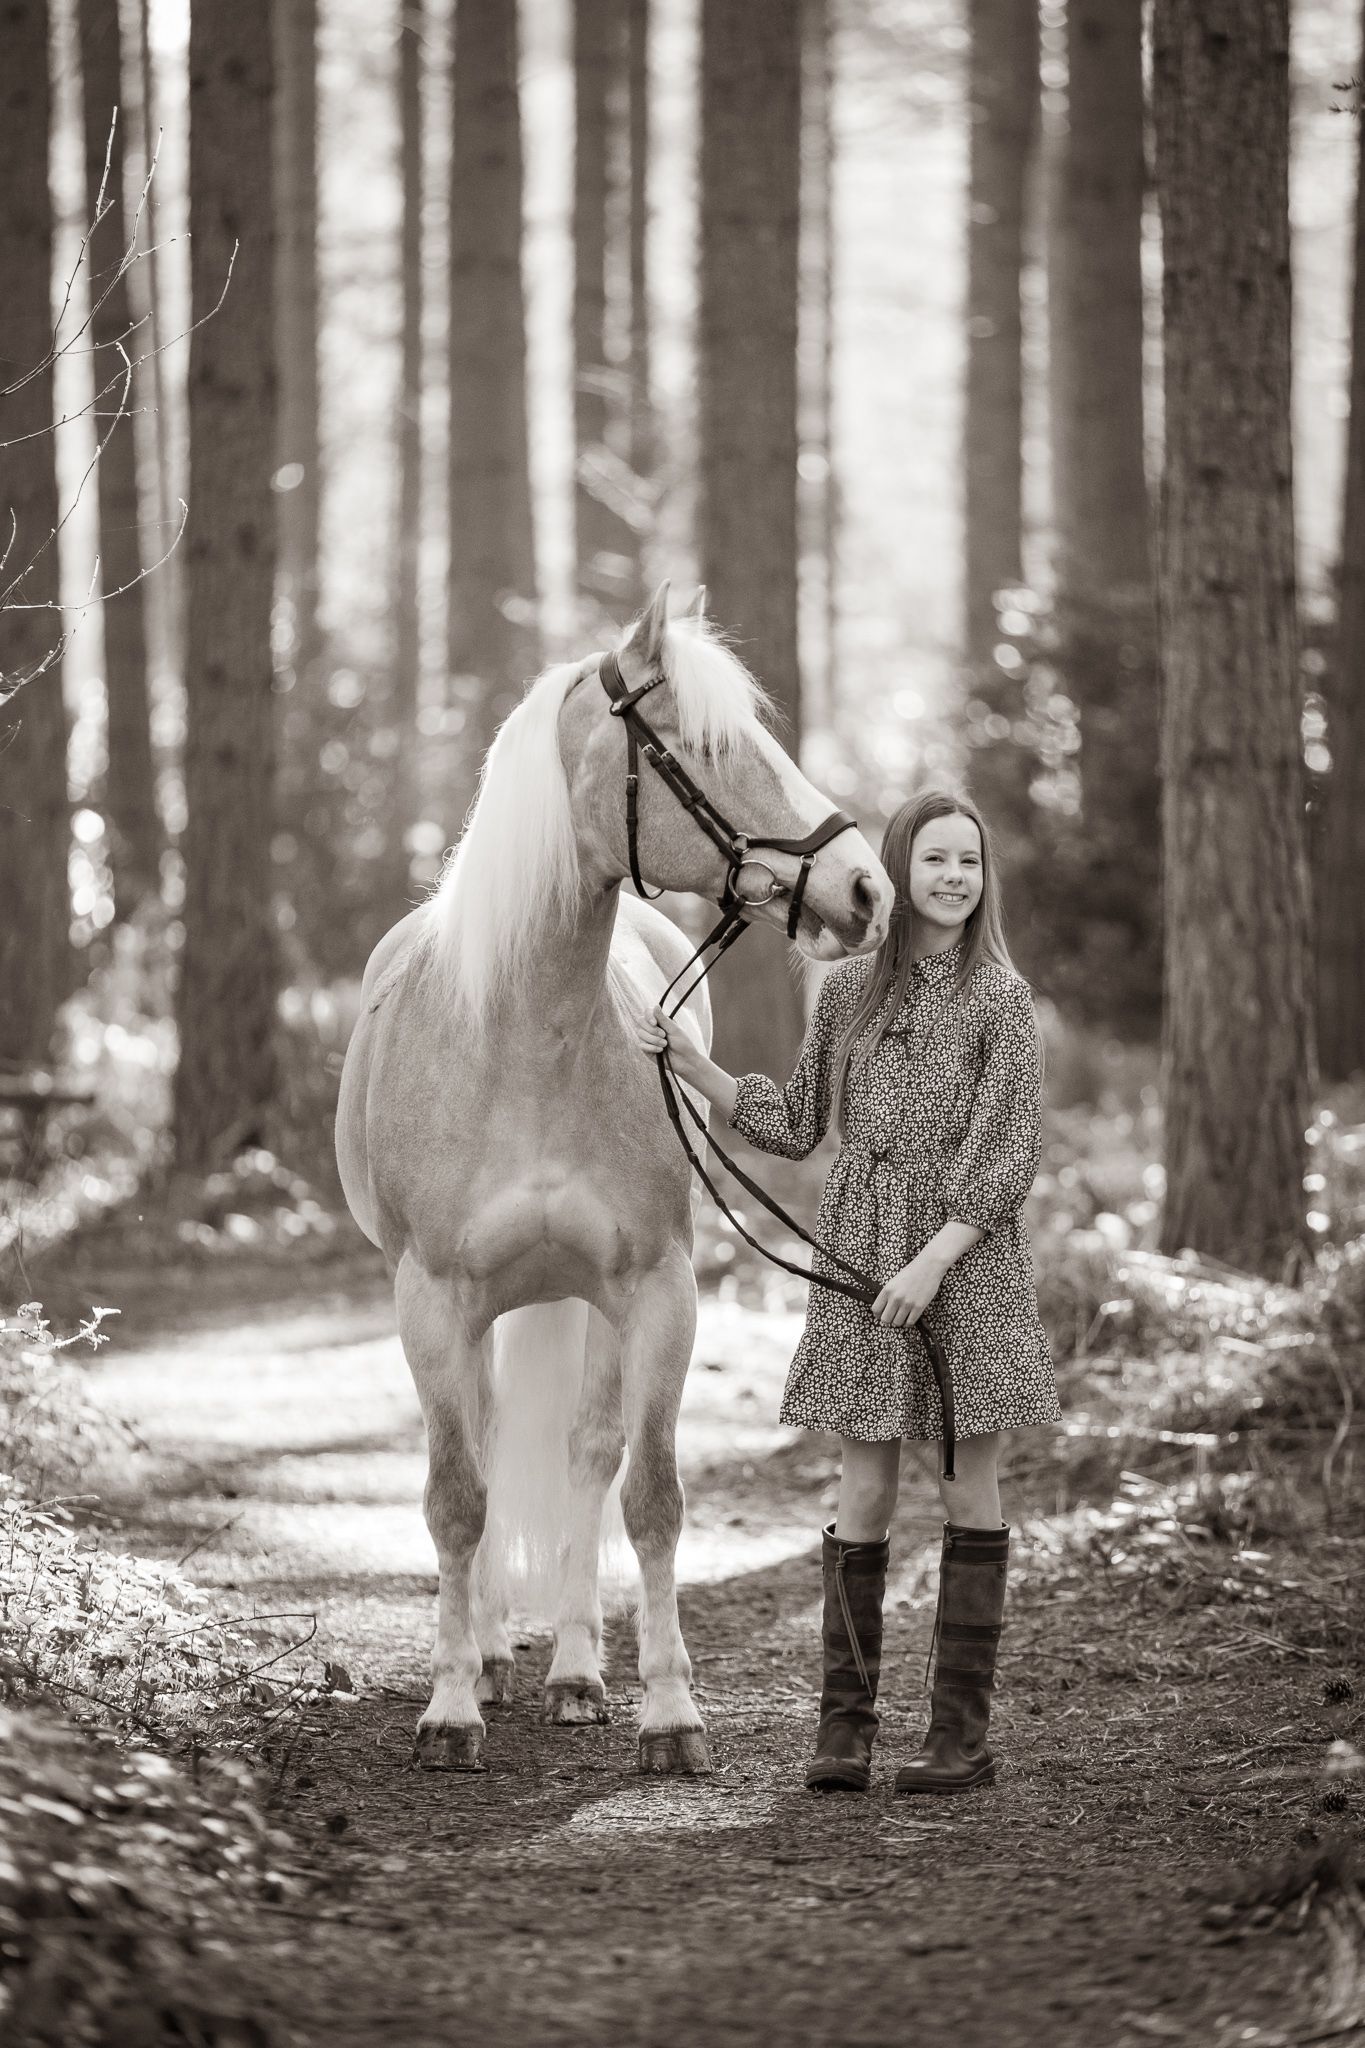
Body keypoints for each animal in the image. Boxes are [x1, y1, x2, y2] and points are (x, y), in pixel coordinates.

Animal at [335, 582, 895, 1775]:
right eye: (710, 745)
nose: (864, 887)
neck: (521, 1036)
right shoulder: (431, 1302)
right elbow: (457, 1499)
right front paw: (449, 1709)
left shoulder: (654, 1292)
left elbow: (649, 1498)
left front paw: (668, 1711)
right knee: (486, 1445)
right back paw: (488, 1656)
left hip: (584, 1302)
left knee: (583, 1457)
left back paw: (576, 1670)